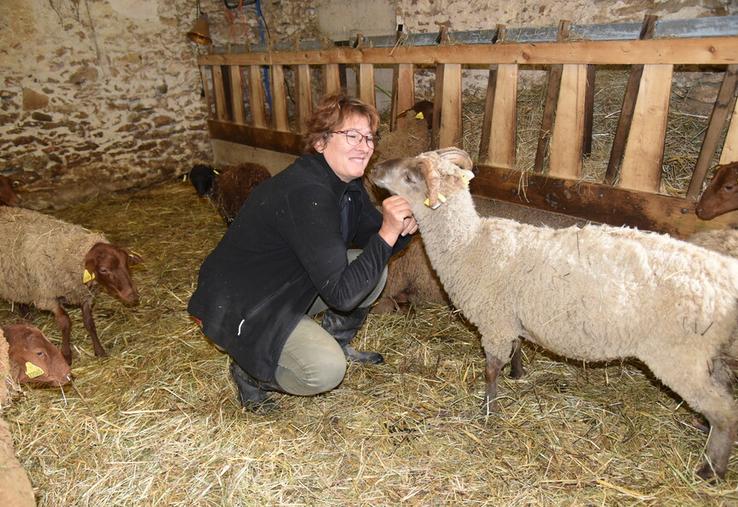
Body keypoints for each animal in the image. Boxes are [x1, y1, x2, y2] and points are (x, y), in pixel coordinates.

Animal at [0, 206, 141, 366]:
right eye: (104, 269)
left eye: (126, 263)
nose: (133, 296)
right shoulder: (48, 296)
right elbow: (65, 322)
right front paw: (66, 356)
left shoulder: (84, 296)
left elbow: (89, 323)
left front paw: (99, 351)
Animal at [370, 147, 736, 480]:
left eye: (410, 178)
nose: (374, 168)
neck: (470, 244)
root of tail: (723, 274)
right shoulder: (509, 317)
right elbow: (517, 347)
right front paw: (517, 374)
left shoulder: (494, 321)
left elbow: (490, 370)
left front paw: (488, 410)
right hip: (707, 355)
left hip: (679, 356)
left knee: (724, 412)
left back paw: (711, 470)